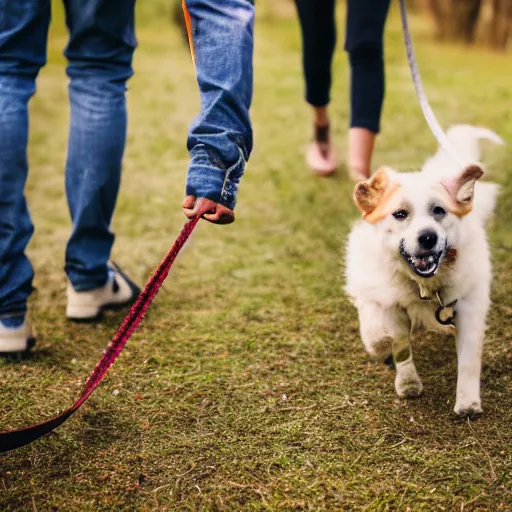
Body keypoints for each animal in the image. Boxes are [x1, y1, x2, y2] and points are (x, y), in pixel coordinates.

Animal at [344, 124, 504, 416]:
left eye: (439, 210)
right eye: (400, 214)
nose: (428, 237)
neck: (424, 286)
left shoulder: (469, 307)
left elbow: (469, 359)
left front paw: (467, 403)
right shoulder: (388, 302)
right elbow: (394, 343)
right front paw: (408, 383)